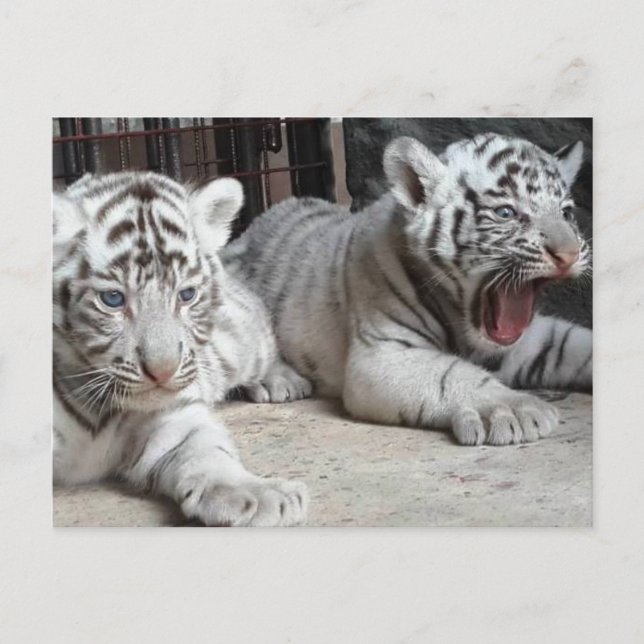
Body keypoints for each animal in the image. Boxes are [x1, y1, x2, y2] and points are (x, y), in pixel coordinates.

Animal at [53, 171, 311, 526]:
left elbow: (207, 451)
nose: (163, 372)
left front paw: (261, 495)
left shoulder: (171, 417)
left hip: (243, 340)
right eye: (113, 299)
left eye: (186, 295)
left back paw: (282, 382)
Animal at [223, 133, 592, 446]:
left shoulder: (529, 338)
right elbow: (452, 375)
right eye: (506, 213)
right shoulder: (383, 354)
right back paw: (281, 380)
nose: (569, 253)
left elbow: (573, 344)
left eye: (566, 213)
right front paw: (514, 408)